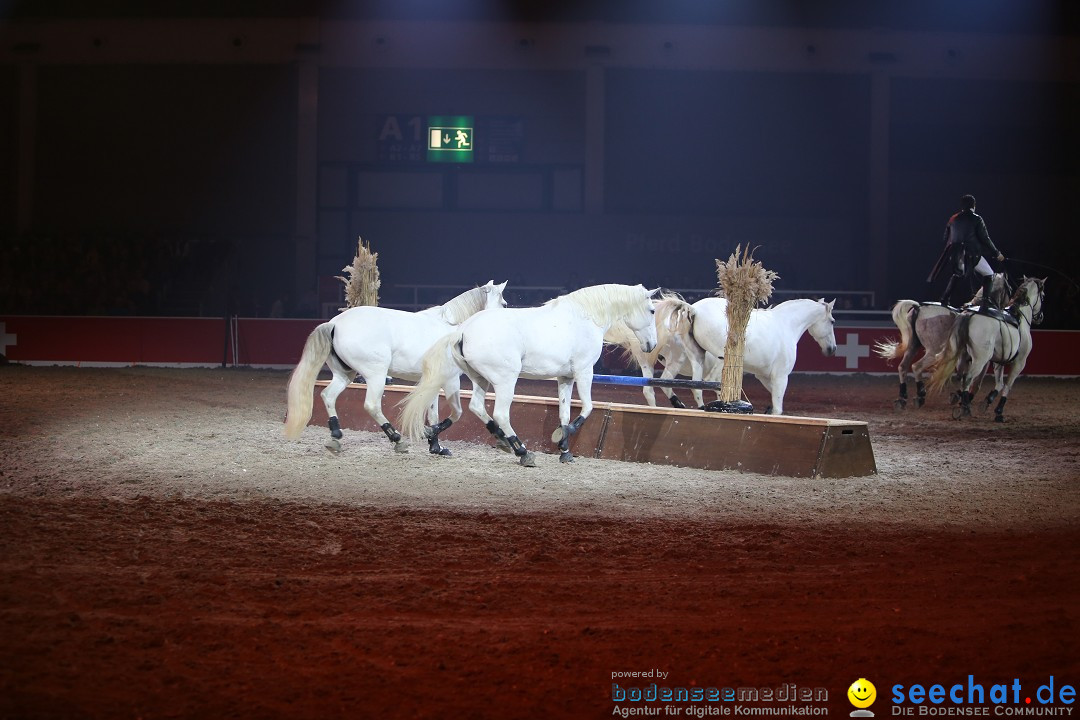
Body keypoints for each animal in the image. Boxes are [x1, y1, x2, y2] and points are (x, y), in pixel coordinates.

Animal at [285, 278, 507, 453]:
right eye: (504, 304)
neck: (451, 328)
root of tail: (335, 323)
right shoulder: (450, 380)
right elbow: (457, 413)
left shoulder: (434, 382)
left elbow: (433, 412)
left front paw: (436, 447)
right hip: (376, 375)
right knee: (372, 405)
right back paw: (397, 439)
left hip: (344, 374)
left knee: (328, 396)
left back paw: (336, 437)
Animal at [401, 284, 656, 470]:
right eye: (653, 310)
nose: (651, 345)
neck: (585, 318)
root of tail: (462, 330)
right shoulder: (585, 372)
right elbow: (587, 408)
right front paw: (561, 438)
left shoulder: (565, 378)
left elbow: (565, 413)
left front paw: (565, 451)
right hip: (506, 381)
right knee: (501, 414)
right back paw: (522, 452)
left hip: (480, 379)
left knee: (476, 407)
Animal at [617, 293, 833, 416]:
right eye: (832, 321)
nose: (831, 349)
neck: (786, 323)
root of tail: (693, 309)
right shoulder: (780, 376)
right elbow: (778, 406)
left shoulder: (764, 376)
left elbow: (774, 399)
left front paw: (767, 409)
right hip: (713, 359)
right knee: (705, 382)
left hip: (691, 358)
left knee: (681, 386)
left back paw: (689, 406)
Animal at [872, 272, 1006, 408]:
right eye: (1008, 288)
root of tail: (918, 307)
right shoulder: (982, 360)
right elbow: (976, 381)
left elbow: (962, 376)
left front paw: (958, 396)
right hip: (933, 352)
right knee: (916, 367)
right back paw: (920, 395)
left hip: (913, 347)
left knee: (903, 367)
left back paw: (902, 398)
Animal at [928, 276, 1045, 423]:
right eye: (1043, 296)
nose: (1040, 317)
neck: (1020, 318)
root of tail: (969, 315)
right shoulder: (1019, 363)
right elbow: (1007, 386)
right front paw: (999, 412)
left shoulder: (998, 362)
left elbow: (999, 384)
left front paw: (987, 401)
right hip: (980, 360)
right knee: (968, 377)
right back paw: (965, 407)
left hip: (963, 357)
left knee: (960, 377)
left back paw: (961, 401)